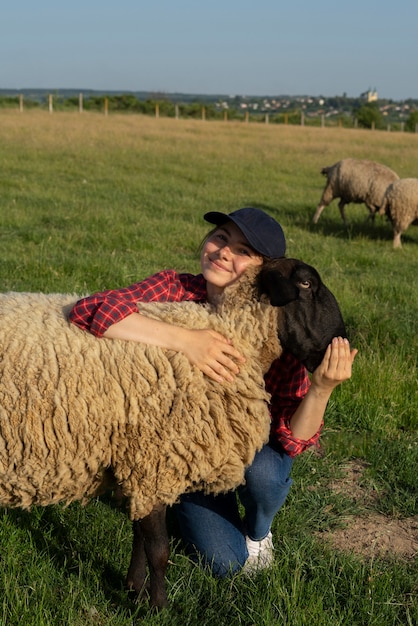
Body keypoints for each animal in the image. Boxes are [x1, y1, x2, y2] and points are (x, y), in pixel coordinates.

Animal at [0, 256, 346, 608]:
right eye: (305, 284)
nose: (342, 343)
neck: (232, 337)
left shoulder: (142, 466)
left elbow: (140, 537)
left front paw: (135, 591)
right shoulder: (154, 463)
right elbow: (159, 549)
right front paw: (159, 607)